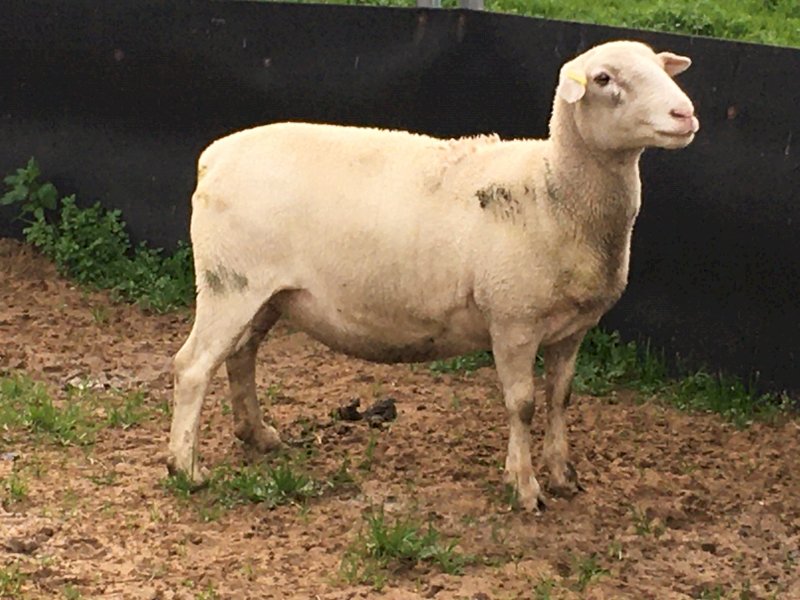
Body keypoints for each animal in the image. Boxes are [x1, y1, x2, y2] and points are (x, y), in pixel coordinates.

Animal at [167, 40, 699, 511]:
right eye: (604, 79)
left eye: (661, 68)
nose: (685, 114)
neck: (551, 189)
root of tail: (214, 157)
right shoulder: (512, 321)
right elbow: (523, 404)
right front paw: (524, 487)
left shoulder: (572, 328)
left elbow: (560, 398)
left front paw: (564, 475)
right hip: (230, 283)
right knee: (193, 366)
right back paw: (185, 468)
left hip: (265, 293)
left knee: (241, 356)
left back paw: (257, 435)